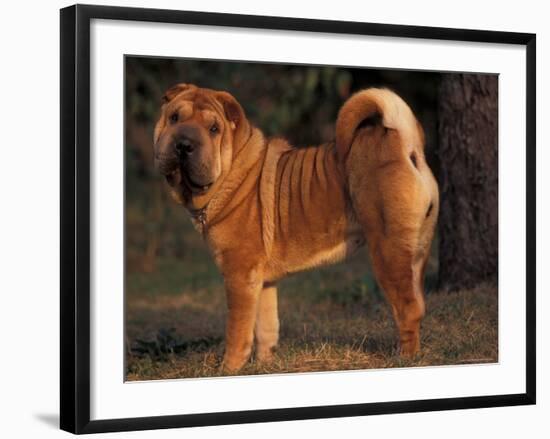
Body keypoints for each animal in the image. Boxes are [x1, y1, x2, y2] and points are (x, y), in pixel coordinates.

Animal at [153, 84, 438, 372]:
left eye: (213, 129)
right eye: (174, 118)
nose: (184, 145)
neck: (231, 172)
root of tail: (404, 142)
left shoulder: (239, 276)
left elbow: (238, 330)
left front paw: (228, 369)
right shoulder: (263, 281)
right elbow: (266, 327)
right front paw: (265, 364)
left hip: (388, 251)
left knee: (407, 308)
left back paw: (405, 358)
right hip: (417, 251)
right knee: (420, 302)